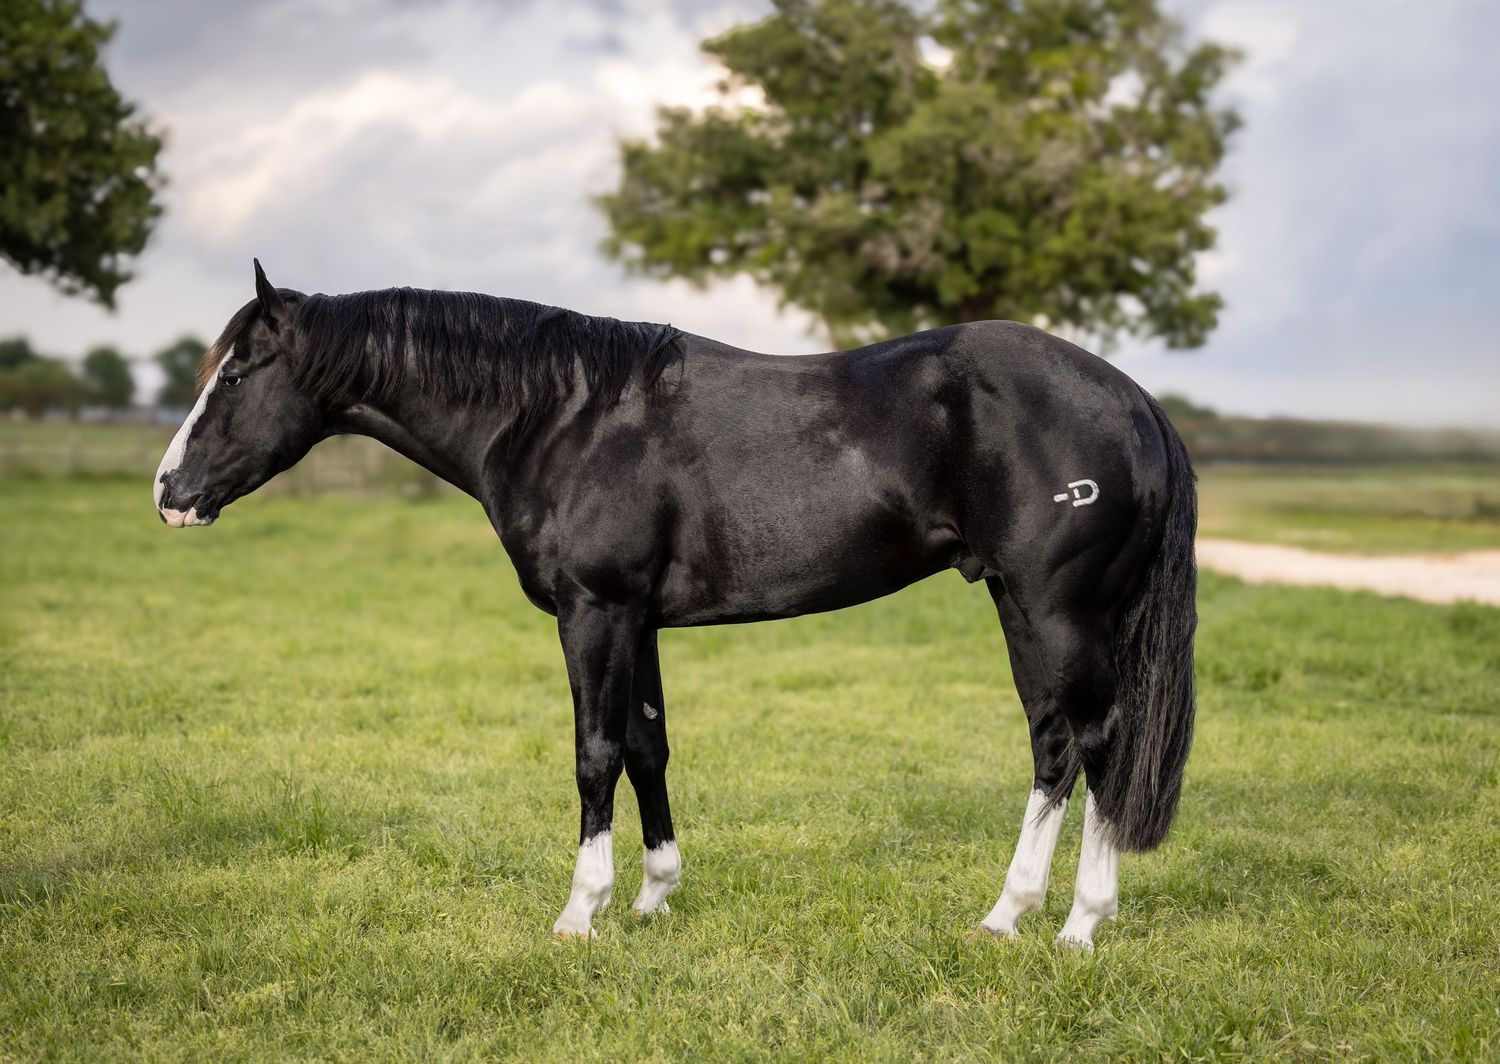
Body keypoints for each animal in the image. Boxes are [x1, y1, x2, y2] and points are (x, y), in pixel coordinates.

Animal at [154, 261, 1196, 948]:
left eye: (236, 374)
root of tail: (1134, 400)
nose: (169, 491)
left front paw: (581, 913)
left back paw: (1052, 921)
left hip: (1048, 609)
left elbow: (594, 755)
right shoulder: (640, 620)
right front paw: (655, 896)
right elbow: (648, 746)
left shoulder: (595, 612)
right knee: (1073, 746)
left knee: (1079, 743)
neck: (562, 416)